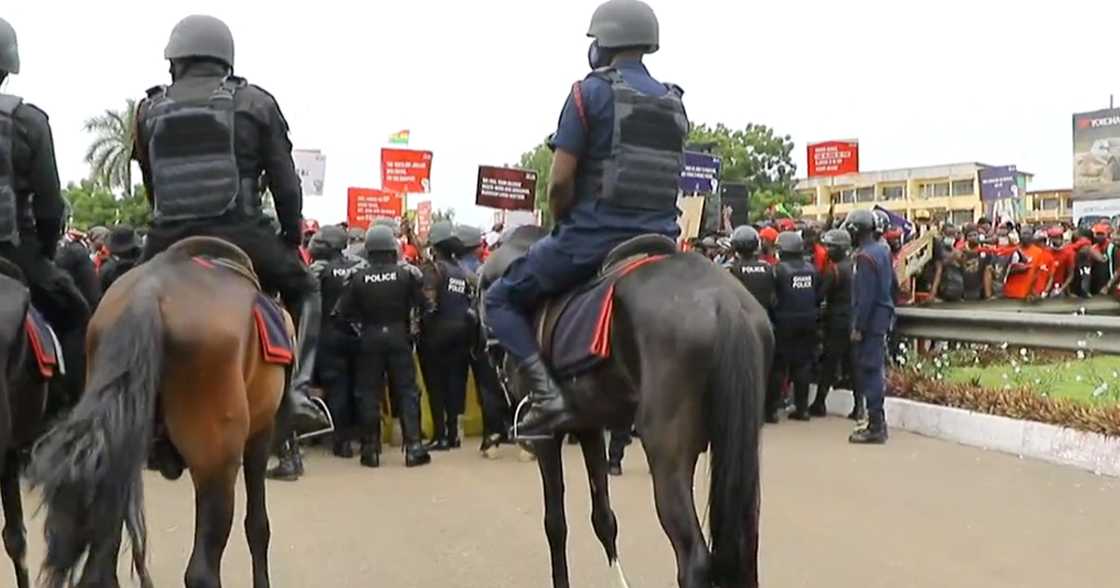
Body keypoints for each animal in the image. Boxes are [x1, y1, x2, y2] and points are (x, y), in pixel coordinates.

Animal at [30, 238, 286, 586]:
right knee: (202, 570)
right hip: (217, 463)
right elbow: (258, 525)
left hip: (117, 458)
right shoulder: (261, 431)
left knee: (100, 563)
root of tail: (149, 291)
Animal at [481, 226, 770, 586]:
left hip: (668, 453)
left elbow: (555, 524)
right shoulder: (588, 426)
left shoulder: (547, 438)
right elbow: (604, 518)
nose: (491, 352)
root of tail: (724, 300)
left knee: (693, 558)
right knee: (744, 545)